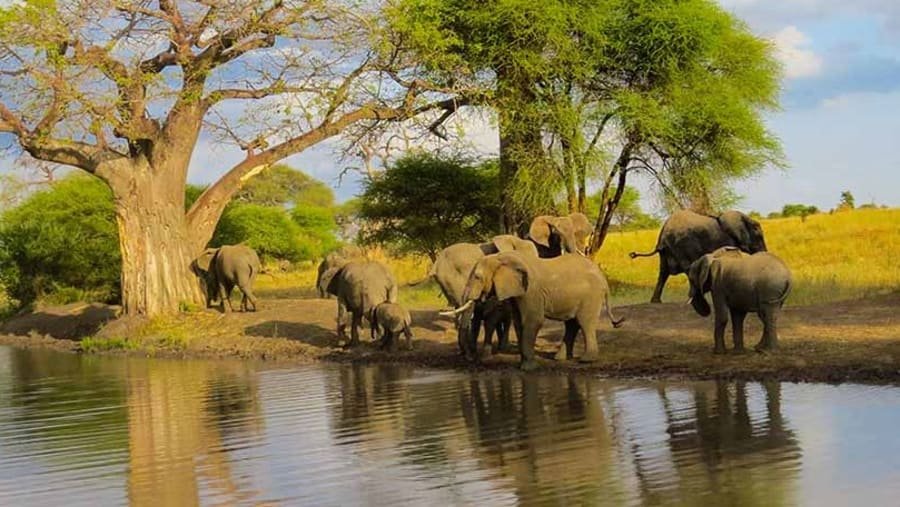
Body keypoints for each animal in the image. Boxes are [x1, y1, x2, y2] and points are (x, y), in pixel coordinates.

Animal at [444, 251, 624, 371]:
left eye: (477, 277)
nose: (469, 360)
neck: (501, 257)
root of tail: (603, 277)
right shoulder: (517, 293)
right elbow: (519, 323)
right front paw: (524, 365)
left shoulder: (531, 291)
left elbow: (533, 321)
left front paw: (528, 368)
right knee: (571, 324)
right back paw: (559, 359)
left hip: (591, 296)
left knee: (584, 322)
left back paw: (586, 360)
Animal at [630, 209, 768, 303]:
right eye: (759, 237)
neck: (744, 217)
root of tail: (663, 235)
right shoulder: (728, 241)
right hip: (682, 244)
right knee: (687, 268)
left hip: (667, 251)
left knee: (663, 272)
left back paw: (656, 301)